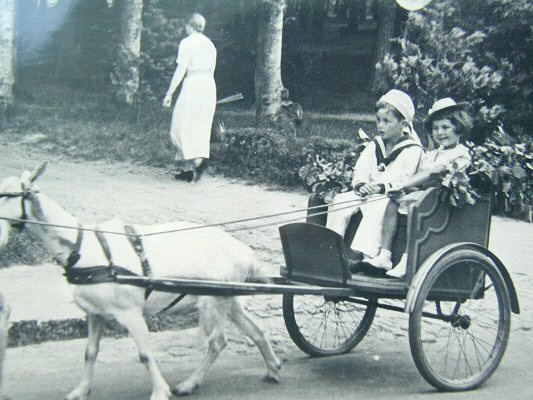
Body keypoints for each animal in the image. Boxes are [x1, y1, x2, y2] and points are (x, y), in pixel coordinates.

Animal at [0, 163, 280, 400]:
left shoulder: (131, 312)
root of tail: (243, 251)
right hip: (228, 297)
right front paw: (80, 390)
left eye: (8, 195)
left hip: (214, 301)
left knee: (217, 342)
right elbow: (90, 352)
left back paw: (189, 383)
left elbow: (145, 354)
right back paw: (273, 369)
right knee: (255, 330)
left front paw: (160, 391)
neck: (81, 247)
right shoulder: (94, 312)